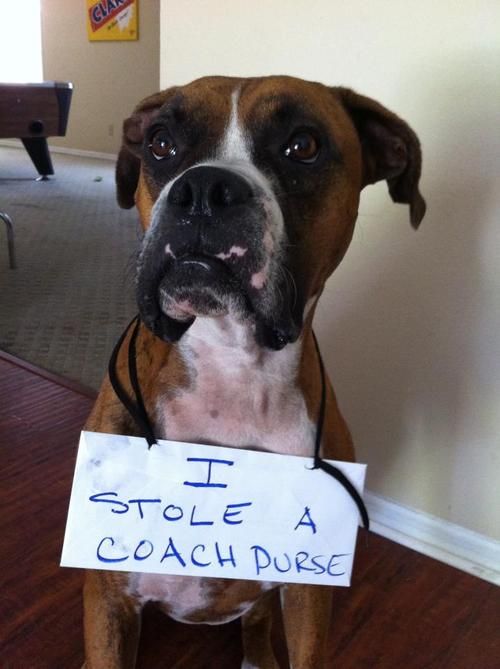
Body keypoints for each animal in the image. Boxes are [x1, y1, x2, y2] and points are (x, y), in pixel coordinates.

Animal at [83, 75, 426, 664]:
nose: (203, 189)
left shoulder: (310, 590)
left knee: (258, 624)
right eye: (159, 143)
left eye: (303, 146)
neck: (233, 368)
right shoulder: (108, 595)